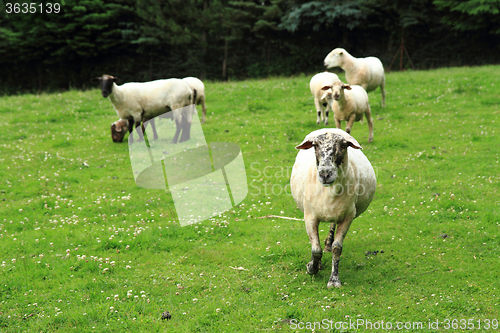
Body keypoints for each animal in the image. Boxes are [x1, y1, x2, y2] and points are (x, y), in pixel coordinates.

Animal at [290, 128, 376, 286]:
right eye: (315, 145)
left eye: (343, 146)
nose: (325, 173)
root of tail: (330, 128)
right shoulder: (310, 216)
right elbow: (316, 250)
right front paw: (312, 268)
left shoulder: (348, 216)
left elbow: (337, 248)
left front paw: (334, 279)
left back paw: (328, 244)